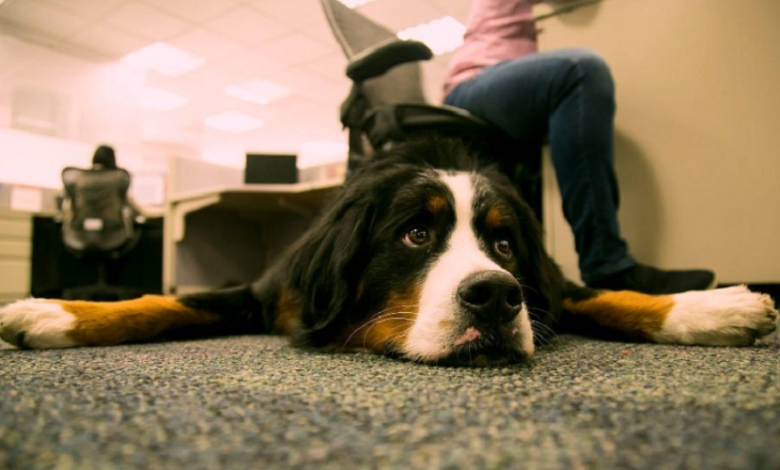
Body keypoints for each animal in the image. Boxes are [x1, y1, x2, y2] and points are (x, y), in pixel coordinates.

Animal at [0, 138, 776, 366]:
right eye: (415, 235)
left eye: (503, 243)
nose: (495, 295)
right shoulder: (265, 290)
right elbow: (163, 303)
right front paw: (52, 313)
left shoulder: (547, 284)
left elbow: (606, 294)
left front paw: (713, 309)